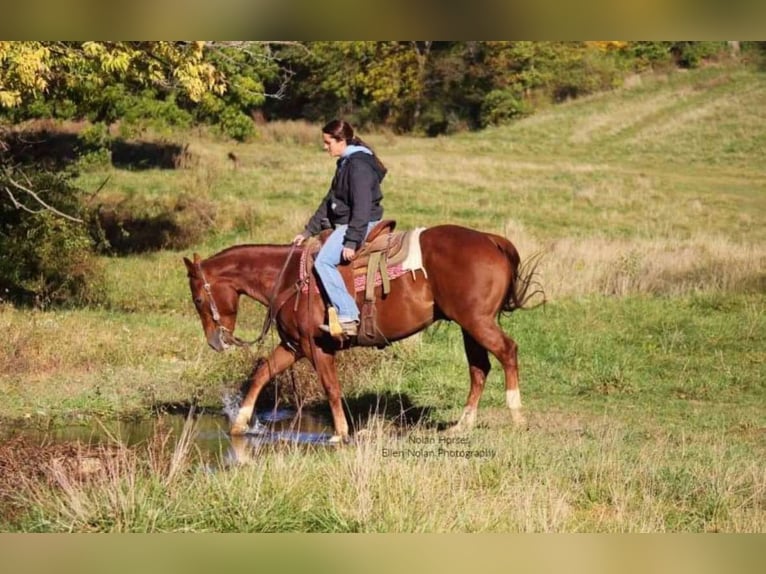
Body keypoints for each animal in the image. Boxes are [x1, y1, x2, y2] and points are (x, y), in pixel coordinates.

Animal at [184, 225, 540, 440]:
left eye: (198, 299)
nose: (216, 342)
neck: (288, 279)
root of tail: (491, 240)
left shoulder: (316, 348)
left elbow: (331, 388)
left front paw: (340, 433)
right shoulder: (294, 346)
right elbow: (262, 374)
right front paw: (239, 424)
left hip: (478, 322)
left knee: (508, 351)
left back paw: (516, 415)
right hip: (469, 327)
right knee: (479, 368)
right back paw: (461, 425)